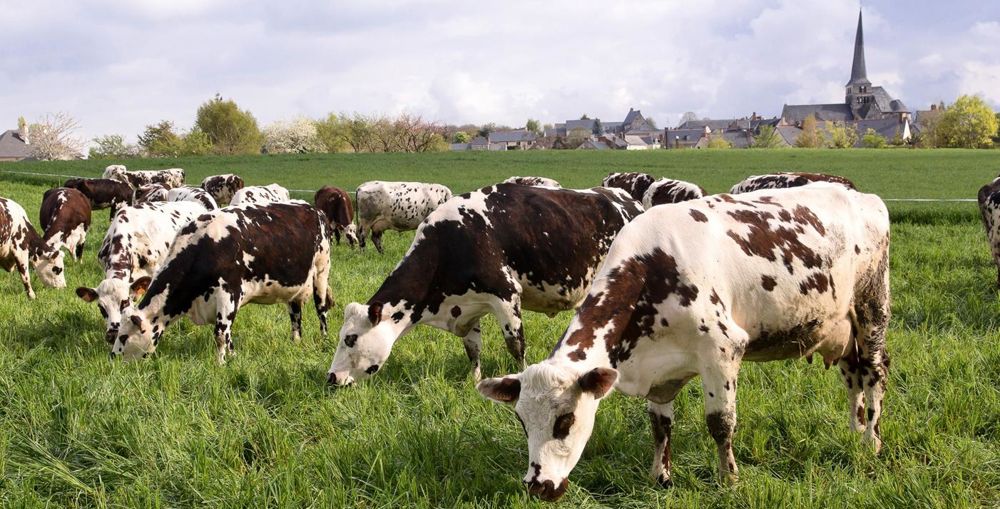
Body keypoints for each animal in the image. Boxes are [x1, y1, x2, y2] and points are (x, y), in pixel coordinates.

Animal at [111, 202, 334, 363]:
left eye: (124, 337)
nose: (112, 358)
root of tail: (315, 209)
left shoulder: (229, 292)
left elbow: (220, 333)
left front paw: (221, 363)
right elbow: (227, 333)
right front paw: (233, 356)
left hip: (321, 270)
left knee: (321, 308)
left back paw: (324, 338)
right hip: (297, 288)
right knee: (295, 314)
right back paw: (296, 341)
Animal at [326, 183, 643, 386]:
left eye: (350, 338)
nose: (331, 377)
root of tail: (627, 199)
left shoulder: (506, 296)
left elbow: (516, 345)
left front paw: (521, 378)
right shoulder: (467, 306)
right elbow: (473, 349)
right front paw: (474, 381)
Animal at [477, 184, 891, 501]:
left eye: (565, 420)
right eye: (521, 421)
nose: (537, 485)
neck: (653, 269)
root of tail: (862, 195)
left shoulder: (723, 352)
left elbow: (720, 424)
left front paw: (729, 480)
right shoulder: (659, 371)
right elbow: (660, 426)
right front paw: (660, 476)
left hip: (872, 311)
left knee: (874, 373)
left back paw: (871, 441)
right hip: (842, 328)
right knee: (852, 376)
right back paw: (854, 432)